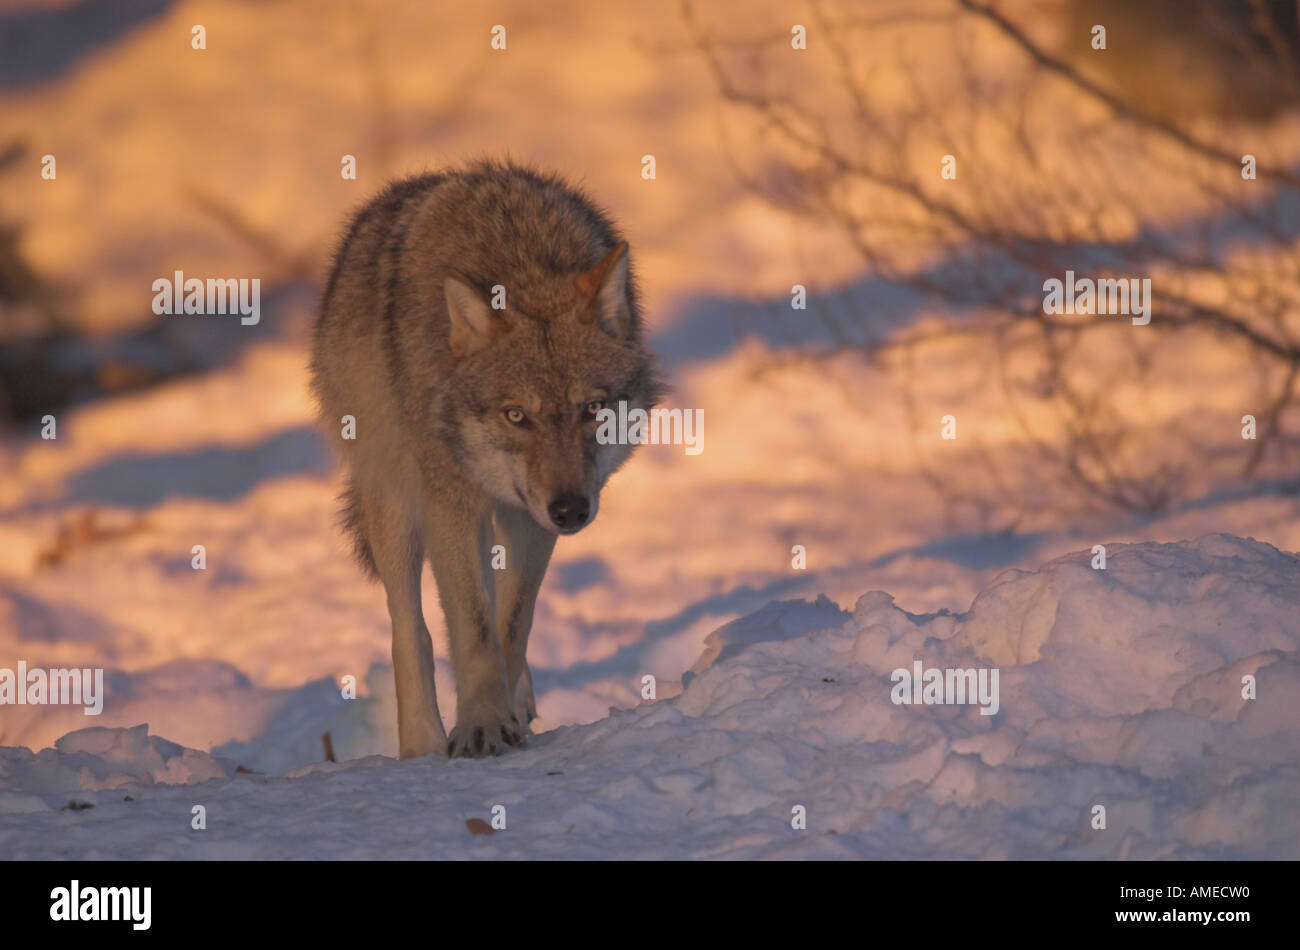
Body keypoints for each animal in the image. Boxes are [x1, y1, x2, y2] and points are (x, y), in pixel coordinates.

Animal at [310, 161, 662, 758]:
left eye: (592, 408)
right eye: (516, 415)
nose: (571, 511)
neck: (521, 261)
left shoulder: (528, 515)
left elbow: (512, 623)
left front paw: (504, 714)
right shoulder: (450, 501)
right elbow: (472, 629)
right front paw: (480, 726)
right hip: (394, 499)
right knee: (410, 628)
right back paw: (422, 744)